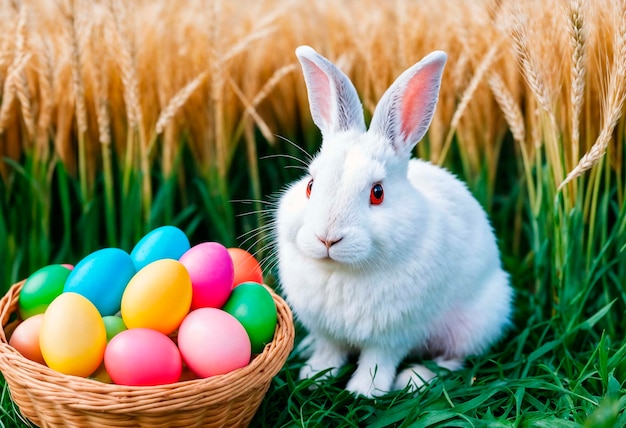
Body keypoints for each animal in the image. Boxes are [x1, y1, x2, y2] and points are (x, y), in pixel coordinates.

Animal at [274, 46, 512, 398]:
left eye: (378, 193)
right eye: (310, 185)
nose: (328, 238)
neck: (342, 271)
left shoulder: (393, 336)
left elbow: (377, 362)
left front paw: (363, 392)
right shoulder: (328, 330)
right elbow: (329, 351)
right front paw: (313, 376)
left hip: (472, 324)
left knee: (453, 361)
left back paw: (414, 379)